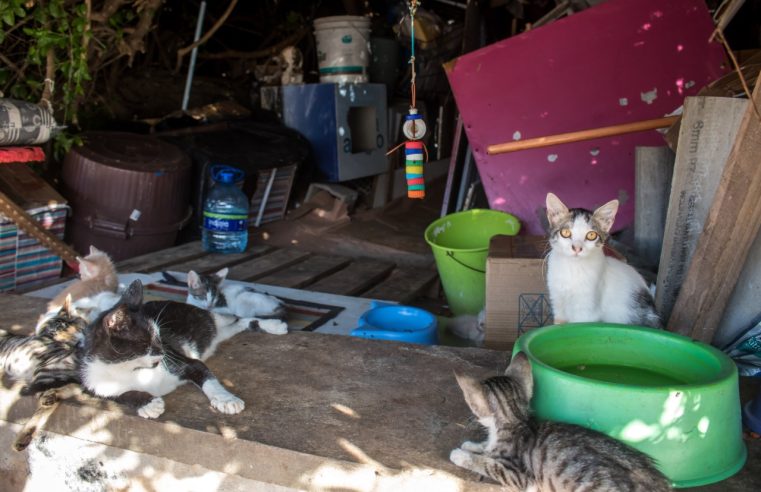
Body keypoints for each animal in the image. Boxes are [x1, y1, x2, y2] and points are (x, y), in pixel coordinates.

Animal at [78, 278, 284, 418]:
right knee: (237, 325)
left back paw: (275, 325)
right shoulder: (93, 383)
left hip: (211, 318)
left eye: (159, 336)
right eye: (147, 341)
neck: (130, 369)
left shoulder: (185, 361)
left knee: (238, 318)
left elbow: (207, 378)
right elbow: (121, 395)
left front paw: (226, 399)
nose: (163, 351)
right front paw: (148, 403)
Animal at [452, 352, 672, 490]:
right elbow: (486, 448)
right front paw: (472, 445)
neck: (515, 420)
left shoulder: (519, 475)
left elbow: (488, 463)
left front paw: (461, 455)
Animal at [548, 192, 660, 326]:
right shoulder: (558, 302)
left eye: (591, 235)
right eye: (565, 232)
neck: (572, 268)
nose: (577, 248)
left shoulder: (586, 312)